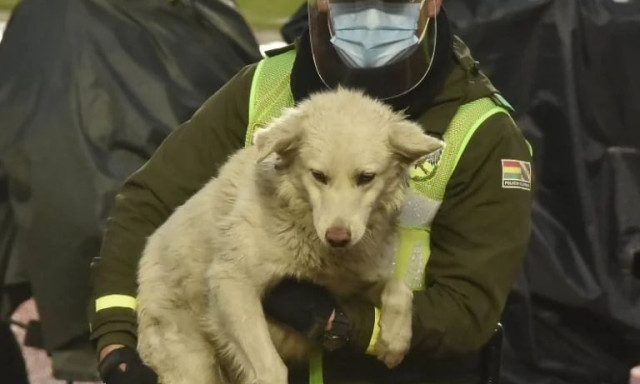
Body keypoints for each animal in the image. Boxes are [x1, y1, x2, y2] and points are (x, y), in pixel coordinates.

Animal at [135, 88, 444, 384]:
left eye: (366, 177)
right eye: (318, 175)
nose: (338, 237)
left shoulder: (349, 285)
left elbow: (399, 289)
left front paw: (394, 340)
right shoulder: (232, 282)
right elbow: (272, 370)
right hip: (193, 362)